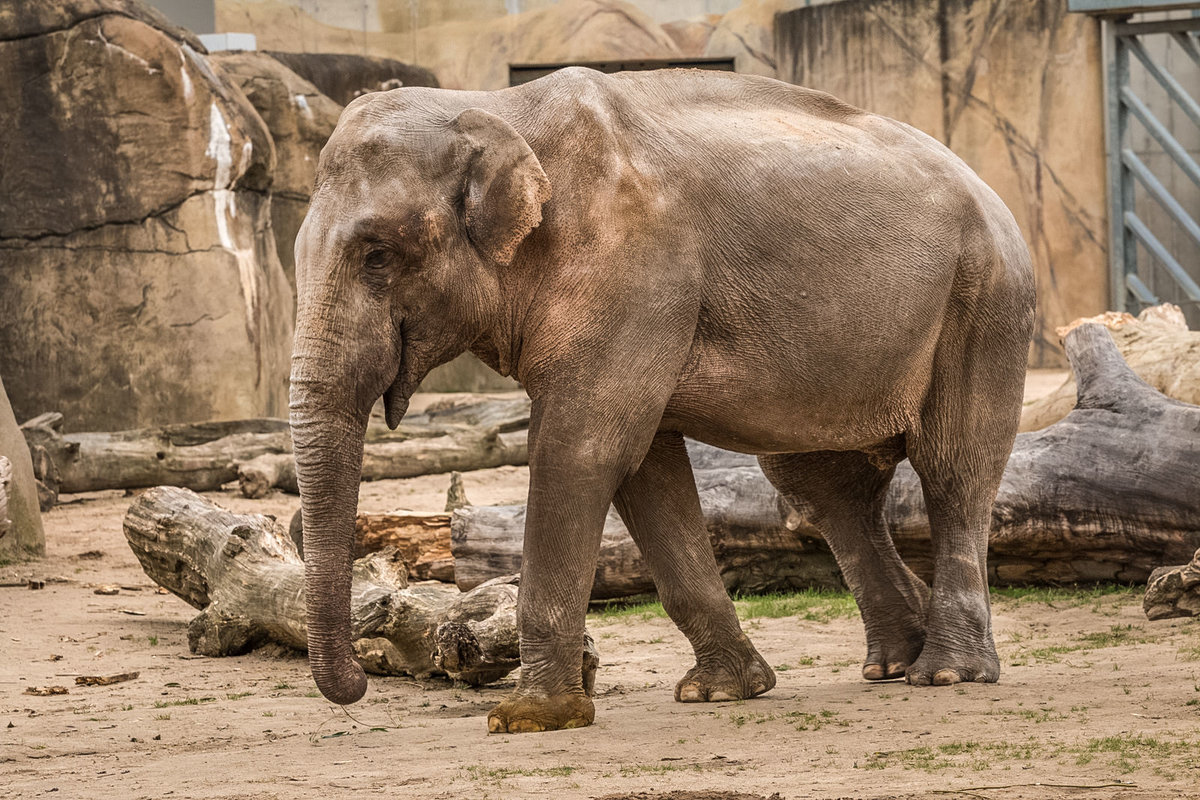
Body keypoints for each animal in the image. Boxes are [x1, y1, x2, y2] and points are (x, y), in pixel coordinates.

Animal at [290, 66, 1036, 734]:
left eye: (377, 254)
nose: (359, 681)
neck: (496, 105)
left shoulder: (635, 270)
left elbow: (579, 452)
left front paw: (528, 719)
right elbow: (645, 471)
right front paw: (722, 692)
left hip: (985, 301)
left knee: (953, 470)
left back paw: (947, 672)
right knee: (823, 489)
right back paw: (892, 664)